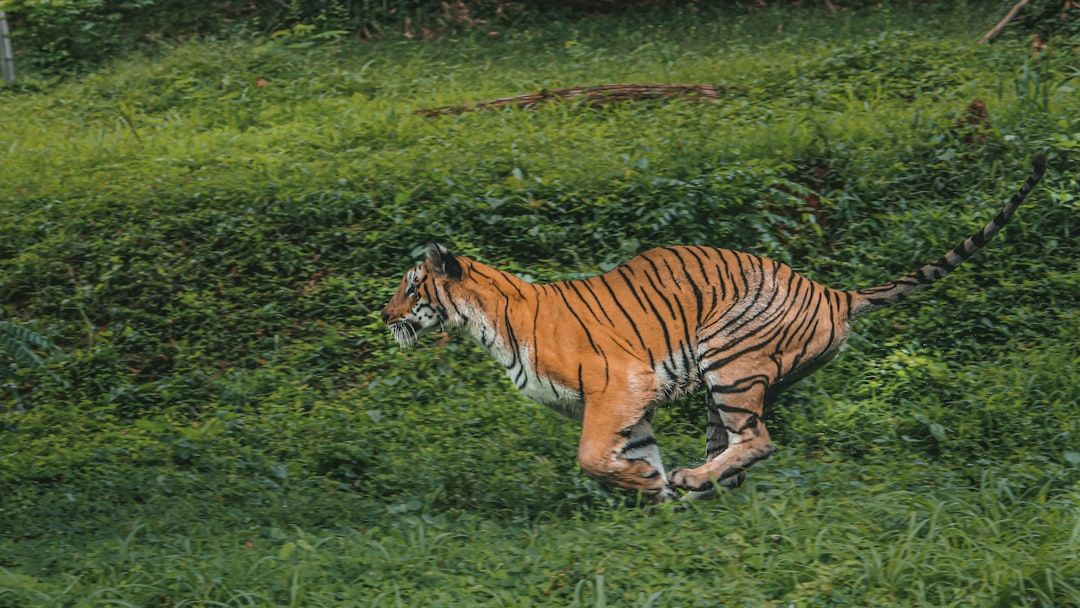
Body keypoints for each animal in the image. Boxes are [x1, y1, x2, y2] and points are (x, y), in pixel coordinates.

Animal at [381, 155, 1046, 501]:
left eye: (411, 287)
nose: (384, 317)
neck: (487, 323)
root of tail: (832, 291)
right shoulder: (631, 406)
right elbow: (632, 453)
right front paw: (654, 493)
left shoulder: (618, 386)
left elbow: (592, 457)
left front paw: (652, 485)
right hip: (722, 386)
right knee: (736, 450)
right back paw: (701, 487)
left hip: (729, 363)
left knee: (758, 441)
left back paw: (694, 480)